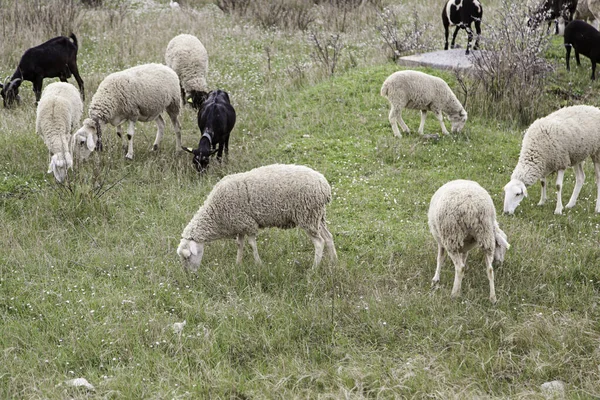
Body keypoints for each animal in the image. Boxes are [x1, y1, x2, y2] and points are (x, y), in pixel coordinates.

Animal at [177, 162, 338, 272]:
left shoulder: (249, 224)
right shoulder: (240, 225)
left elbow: (251, 245)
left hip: (307, 215)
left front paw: (259, 264)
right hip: (317, 217)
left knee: (319, 242)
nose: (190, 275)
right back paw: (333, 262)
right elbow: (240, 245)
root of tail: (324, 186)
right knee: (328, 238)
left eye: (187, 257)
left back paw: (313, 269)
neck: (215, 212)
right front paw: (238, 264)